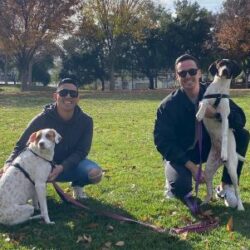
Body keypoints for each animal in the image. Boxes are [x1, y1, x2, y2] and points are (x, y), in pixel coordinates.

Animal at [196, 59, 243, 210]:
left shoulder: (225, 117)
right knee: (209, 189)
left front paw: (223, 151)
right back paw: (205, 201)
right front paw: (199, 114)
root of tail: (220, 163)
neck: (219, 91)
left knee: (237, 189)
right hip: (208, 170)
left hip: (232, 170)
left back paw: (240, 206)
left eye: (230, 65)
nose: (224, 71)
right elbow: (204, 103)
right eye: (220, 64)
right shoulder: (203, 100)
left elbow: (225, 137)